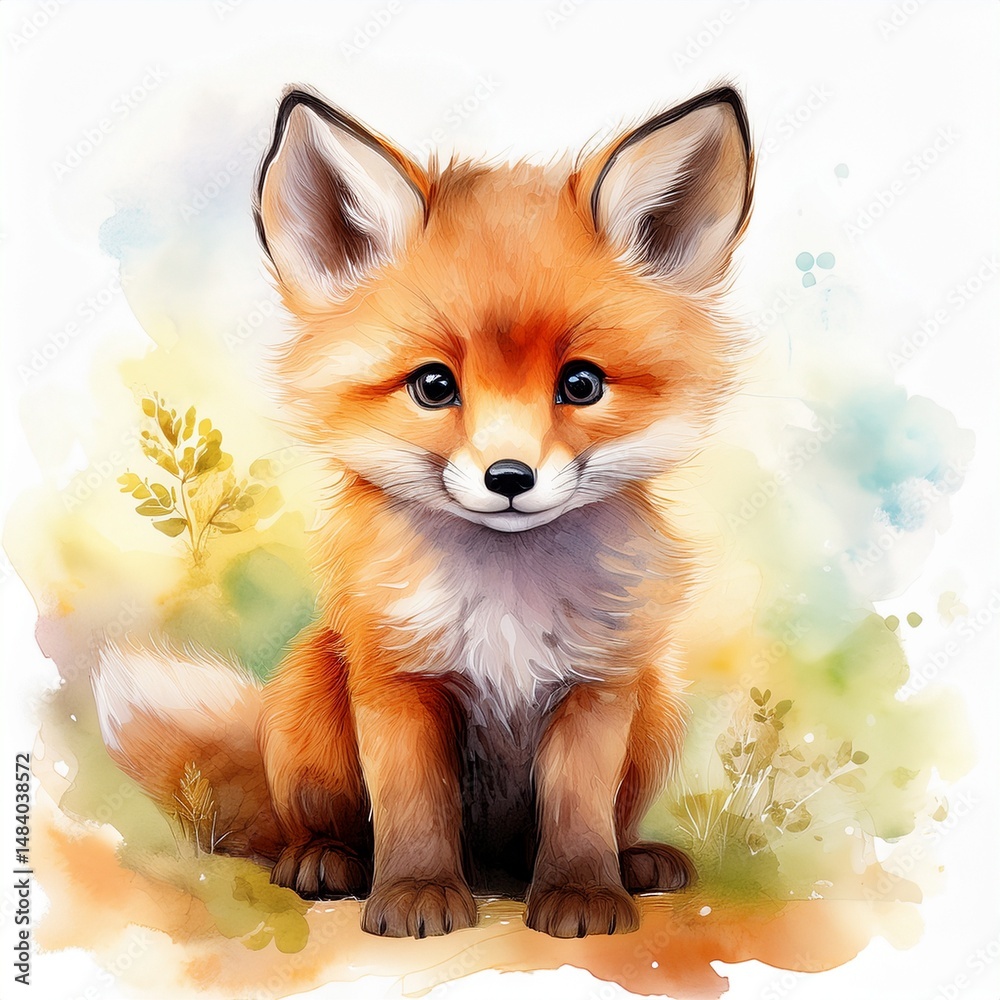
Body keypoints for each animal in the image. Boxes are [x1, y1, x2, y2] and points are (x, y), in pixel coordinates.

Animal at [92, 83, 753, 939]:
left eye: (580, 384)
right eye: (435, 386)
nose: (510, 477)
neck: (507, 599)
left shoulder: (596, 687)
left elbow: (579, 812)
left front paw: (583, 893)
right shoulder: (397, 681)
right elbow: (413, 808)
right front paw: (413, 895)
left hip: (657, 698)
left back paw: (635, 862)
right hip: (312, 688)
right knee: (305, 831)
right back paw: (325, 861)